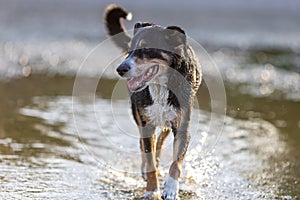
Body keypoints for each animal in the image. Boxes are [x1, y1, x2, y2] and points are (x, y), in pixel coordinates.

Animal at [103, 3, 202, 199]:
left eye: (146, 49)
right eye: (130, 50)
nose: (120, 69)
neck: (160, 85)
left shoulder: (182, 128)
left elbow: (176, 163)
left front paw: (170, 189)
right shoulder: (146, 124)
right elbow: (150, 163)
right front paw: (151, 191)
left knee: (161, 138)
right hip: (139, 116)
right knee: (145, 146)